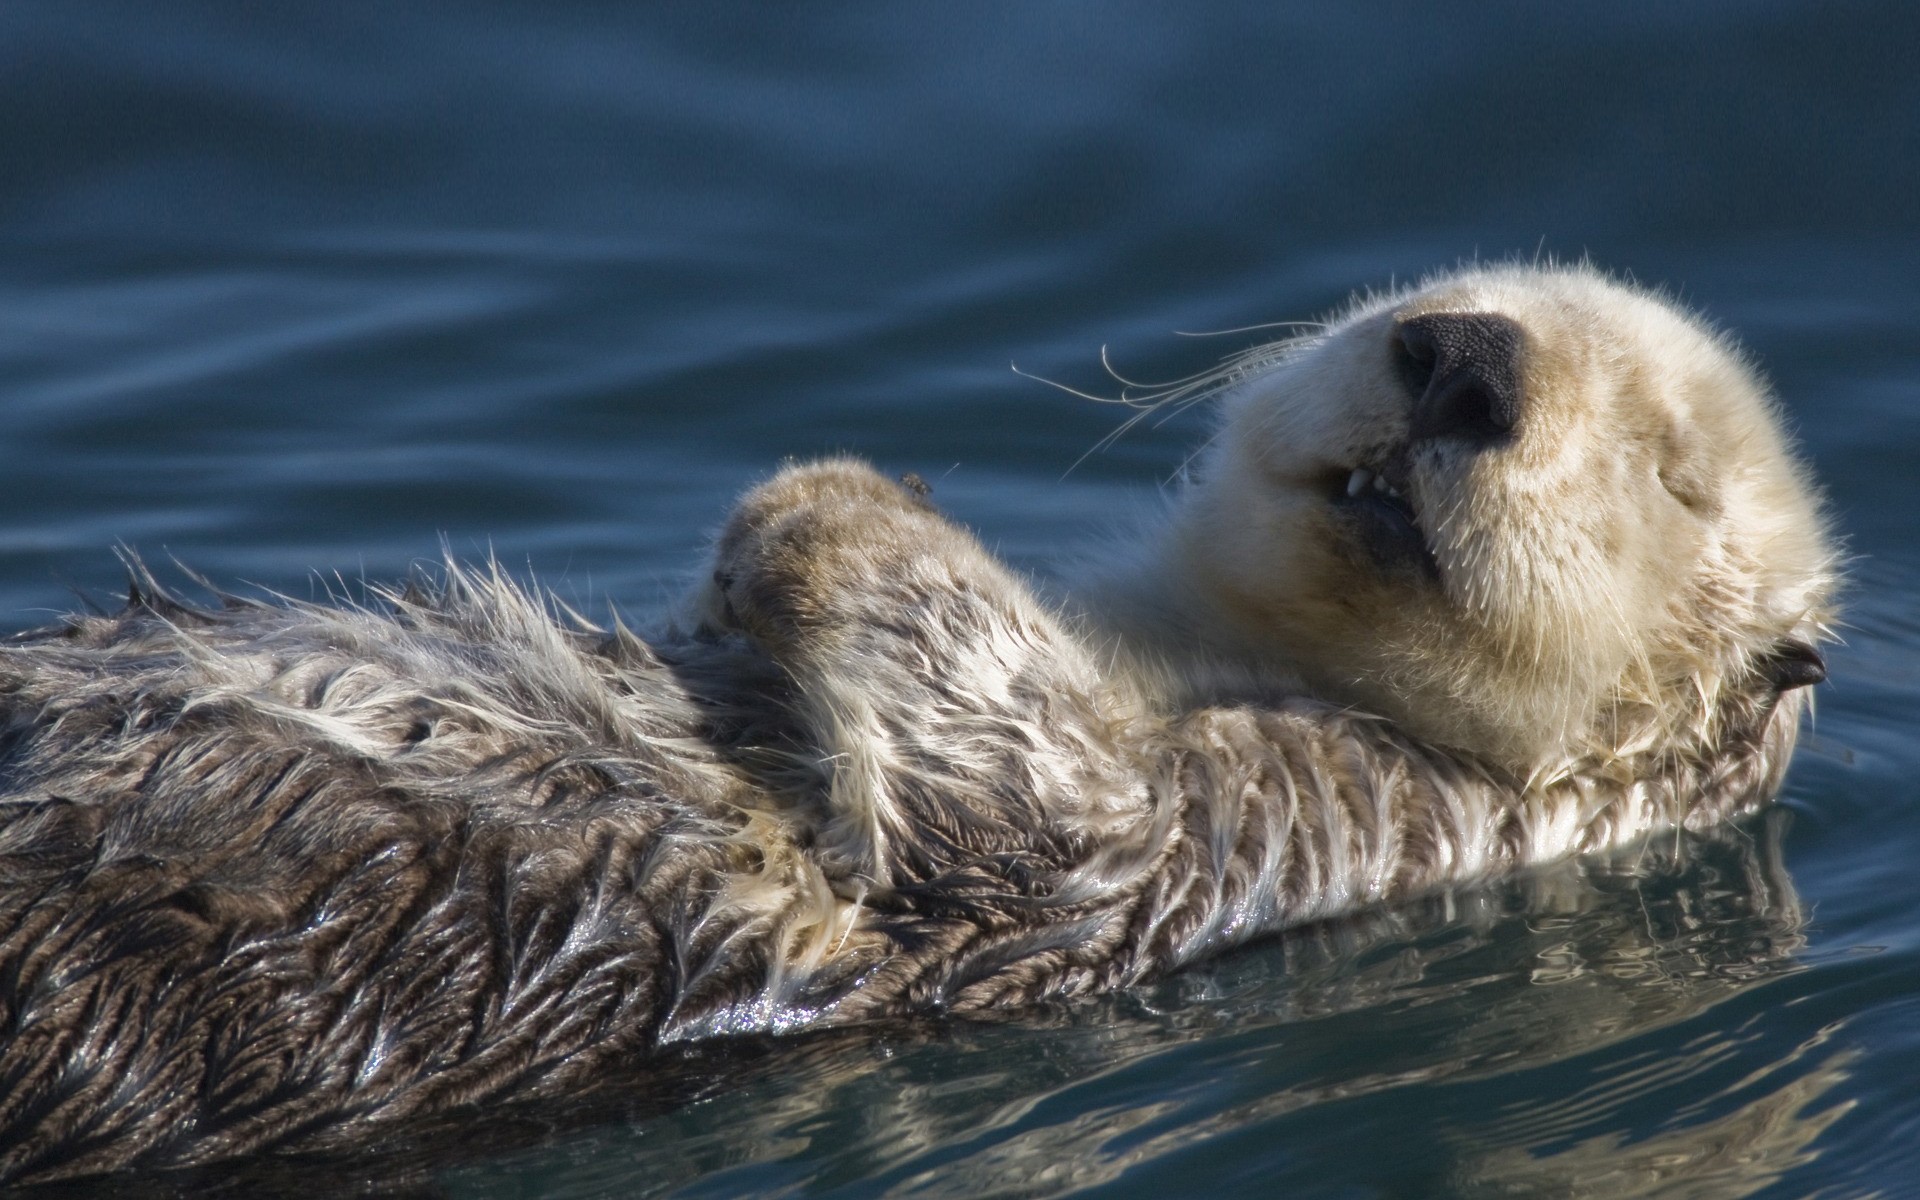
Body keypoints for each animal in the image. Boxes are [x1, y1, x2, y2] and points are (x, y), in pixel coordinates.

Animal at [0, 264, 1835, 1182]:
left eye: (1673, 472)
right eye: (1447, 292)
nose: (1462, 359)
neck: (1196, 648)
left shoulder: (1296, 823)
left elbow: (1024, 799)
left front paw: (824, 500)